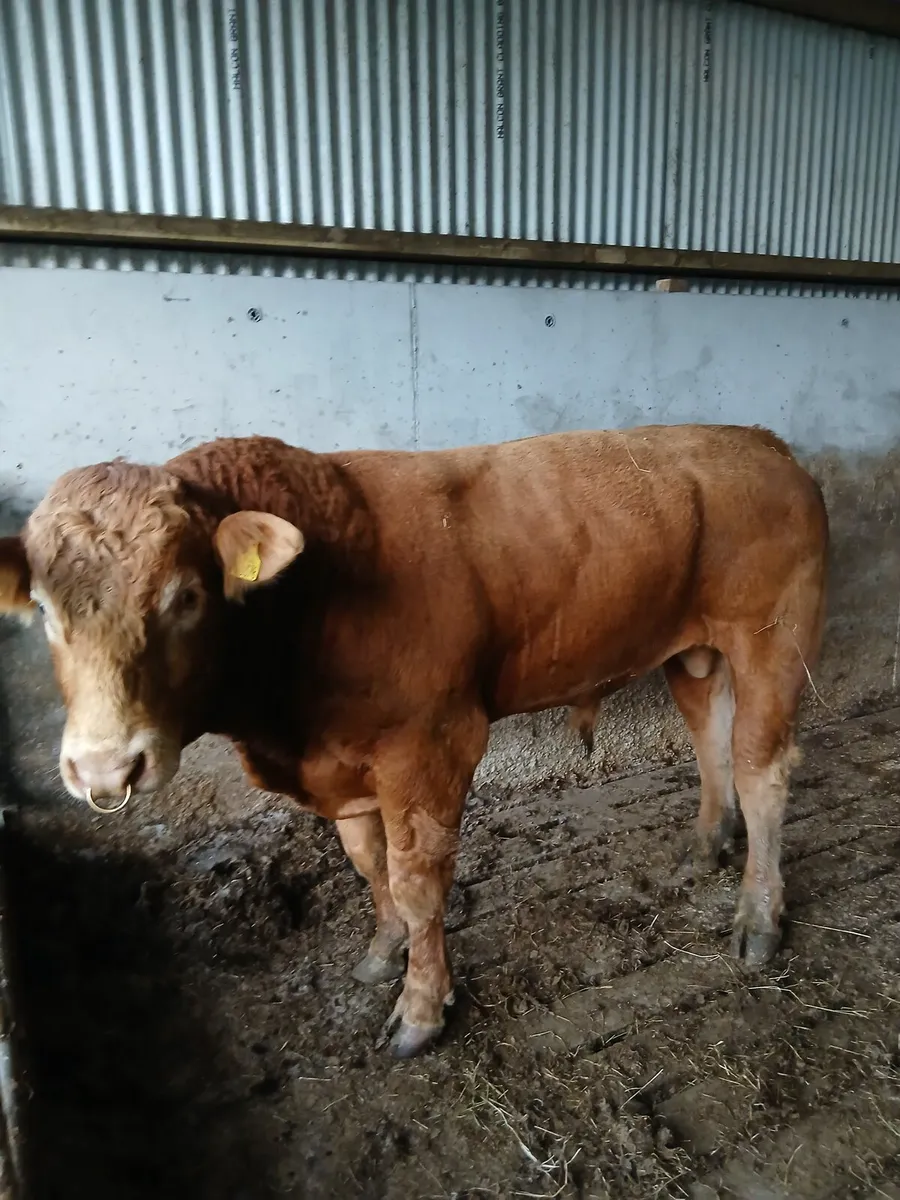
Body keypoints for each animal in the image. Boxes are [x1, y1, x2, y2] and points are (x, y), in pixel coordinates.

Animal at [0, 425, 828, 1057]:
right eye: (41, 605)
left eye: (187, 595)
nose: (105, 767)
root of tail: (760, 441)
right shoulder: (343, 762)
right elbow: (370, 863)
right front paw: (382, 952)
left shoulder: (431, 745)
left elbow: (417, 878)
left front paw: (423, 1007)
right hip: (693, 649)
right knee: (710, 738)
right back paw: (706, 844)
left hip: (772, 639)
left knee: (762, 770)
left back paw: (759, 917)